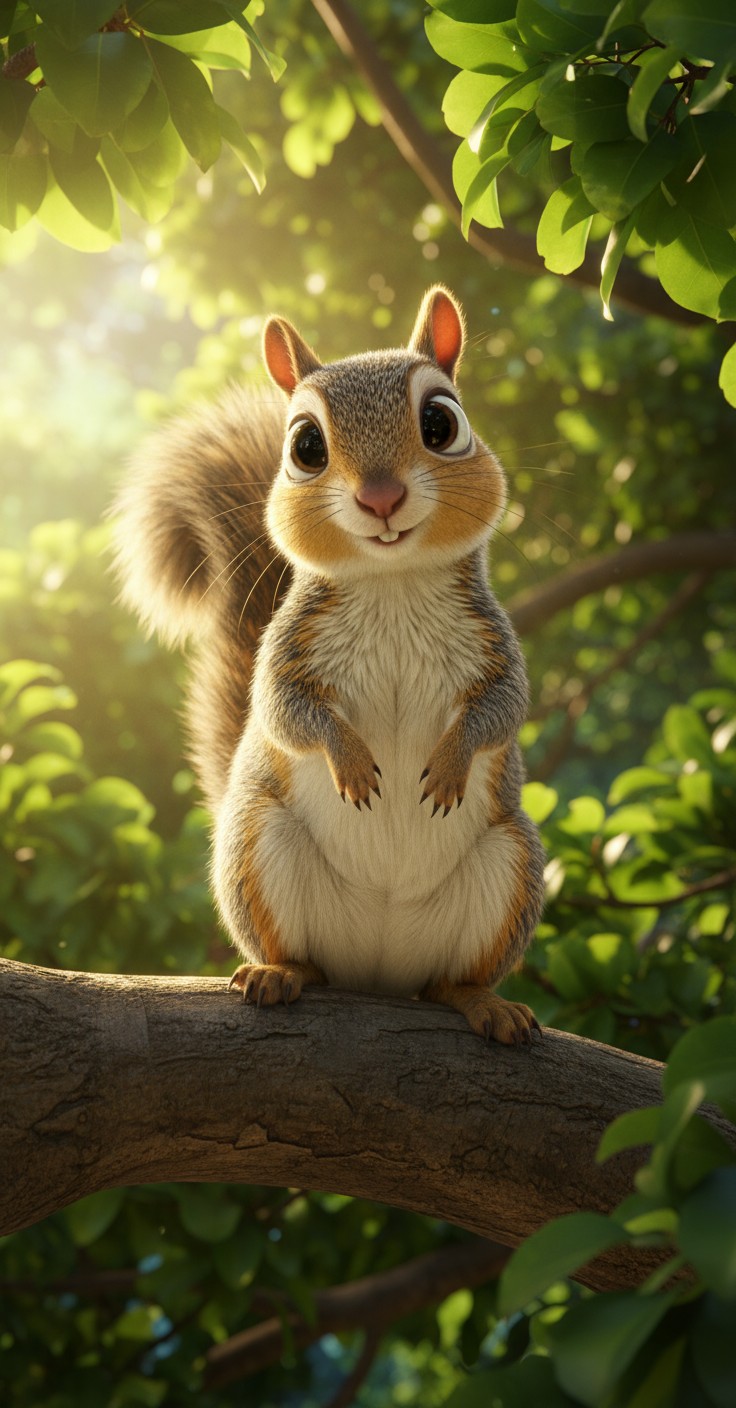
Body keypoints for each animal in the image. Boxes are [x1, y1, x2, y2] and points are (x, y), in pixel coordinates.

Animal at [112, 285, 545, 1046]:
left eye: (441, 423)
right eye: (305, 446)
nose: (381, 497)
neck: (393, 583)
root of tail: (378, 972)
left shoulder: (495, 645)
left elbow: (502, 709)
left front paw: (452, 761)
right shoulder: (287, 651)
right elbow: (285, 712)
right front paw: (350, 761)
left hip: (511, 863)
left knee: (450, 980)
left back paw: (482, 1001)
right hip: (259, 846)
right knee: (302, 955)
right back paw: (281, 973)